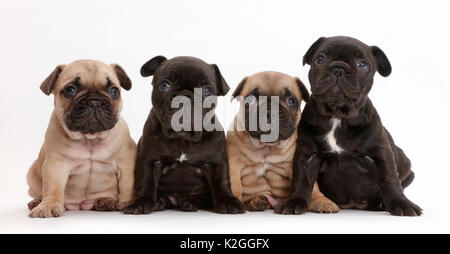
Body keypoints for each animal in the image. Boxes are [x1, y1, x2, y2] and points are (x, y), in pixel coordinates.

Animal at [27, 59, 137, 218]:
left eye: (114, 91)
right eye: (70, 90)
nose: (94, 101)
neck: (89, 138)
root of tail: (81, 204)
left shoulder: (126, 162)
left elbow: (128, 185)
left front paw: (129, 203)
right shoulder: (56, 165)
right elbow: (53, 187)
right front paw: (48, 206)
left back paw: (106, 202)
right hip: (32, 174)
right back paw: (36, 202)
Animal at [122, 56, 246, 214]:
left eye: (207, 90)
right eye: (165, 85)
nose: (185, 99)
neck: (182, 138)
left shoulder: (216, 162)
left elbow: (222, 181)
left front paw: (228, 201)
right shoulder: (150, 159)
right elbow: (146, 182)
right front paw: (140, 203)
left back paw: (190, 202)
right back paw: (159, 202)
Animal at [227, 71, 340, 212]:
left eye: (291, 101)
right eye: (250, 100)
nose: (269, 111)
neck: (266, 147)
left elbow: (312, 186)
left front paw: (322, 201)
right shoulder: (234, 164)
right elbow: (235, 184)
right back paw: (257, 201)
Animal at [276, 36, 424, 216]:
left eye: (362, 65)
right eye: (320, 59)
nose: (339, 69)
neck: (338, 116)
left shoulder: (381, 154)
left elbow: (390, 179)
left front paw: (402, 204)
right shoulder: (307, 155)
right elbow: (301, 179)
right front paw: (294, 202)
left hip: (405, 163)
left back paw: (381, 203)